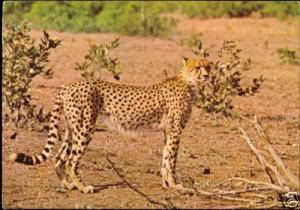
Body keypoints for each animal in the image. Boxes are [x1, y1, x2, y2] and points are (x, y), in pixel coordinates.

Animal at [9, 56, 211, 194]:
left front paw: (167, 184)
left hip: (72, 128)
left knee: (59, 157)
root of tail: (67, 85)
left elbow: (165, 158)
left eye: (208, 66)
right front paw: (177, 186)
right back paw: (83, 187)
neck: (189, 82)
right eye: (197, 67)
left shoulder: (168, 132)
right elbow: (172, 161)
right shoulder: (175, 131)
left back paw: (68, 185)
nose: (207, 75)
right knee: (71, 161)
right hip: (85, 128)